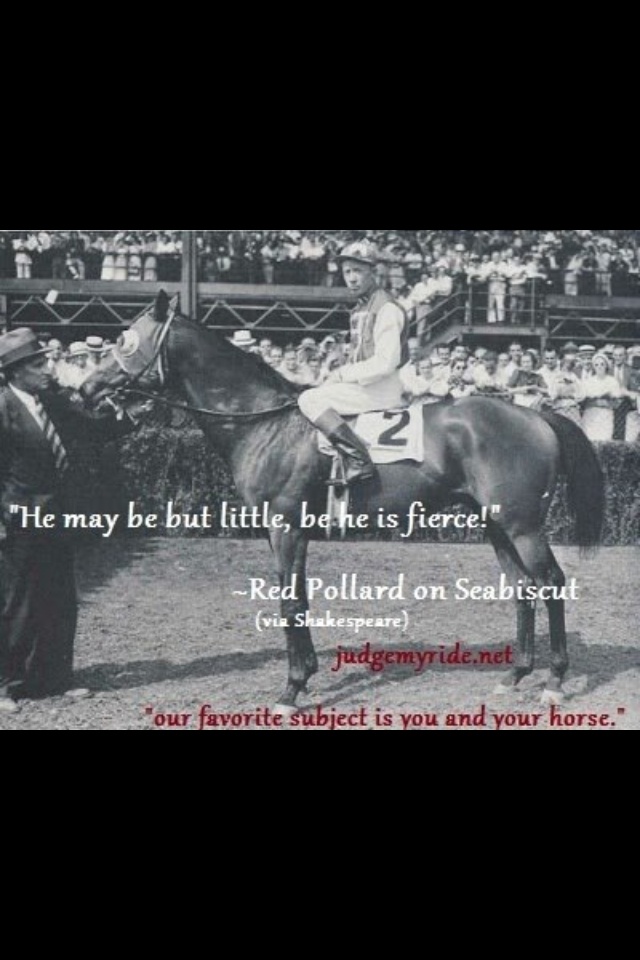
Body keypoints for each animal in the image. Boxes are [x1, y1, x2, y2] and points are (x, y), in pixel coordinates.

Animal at [81, 291, 604, 711]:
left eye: (126, 342)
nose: (85, 389)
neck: (265, 422)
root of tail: (535, 416)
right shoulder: (288, 531)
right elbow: (299, 597)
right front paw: (305, 677)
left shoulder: (285, 526)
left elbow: (289, 602)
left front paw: (291, 690)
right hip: (494, 524)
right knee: (523, 587)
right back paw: (514, 675)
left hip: (522, 525)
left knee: (551, 582)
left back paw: (554, 681)